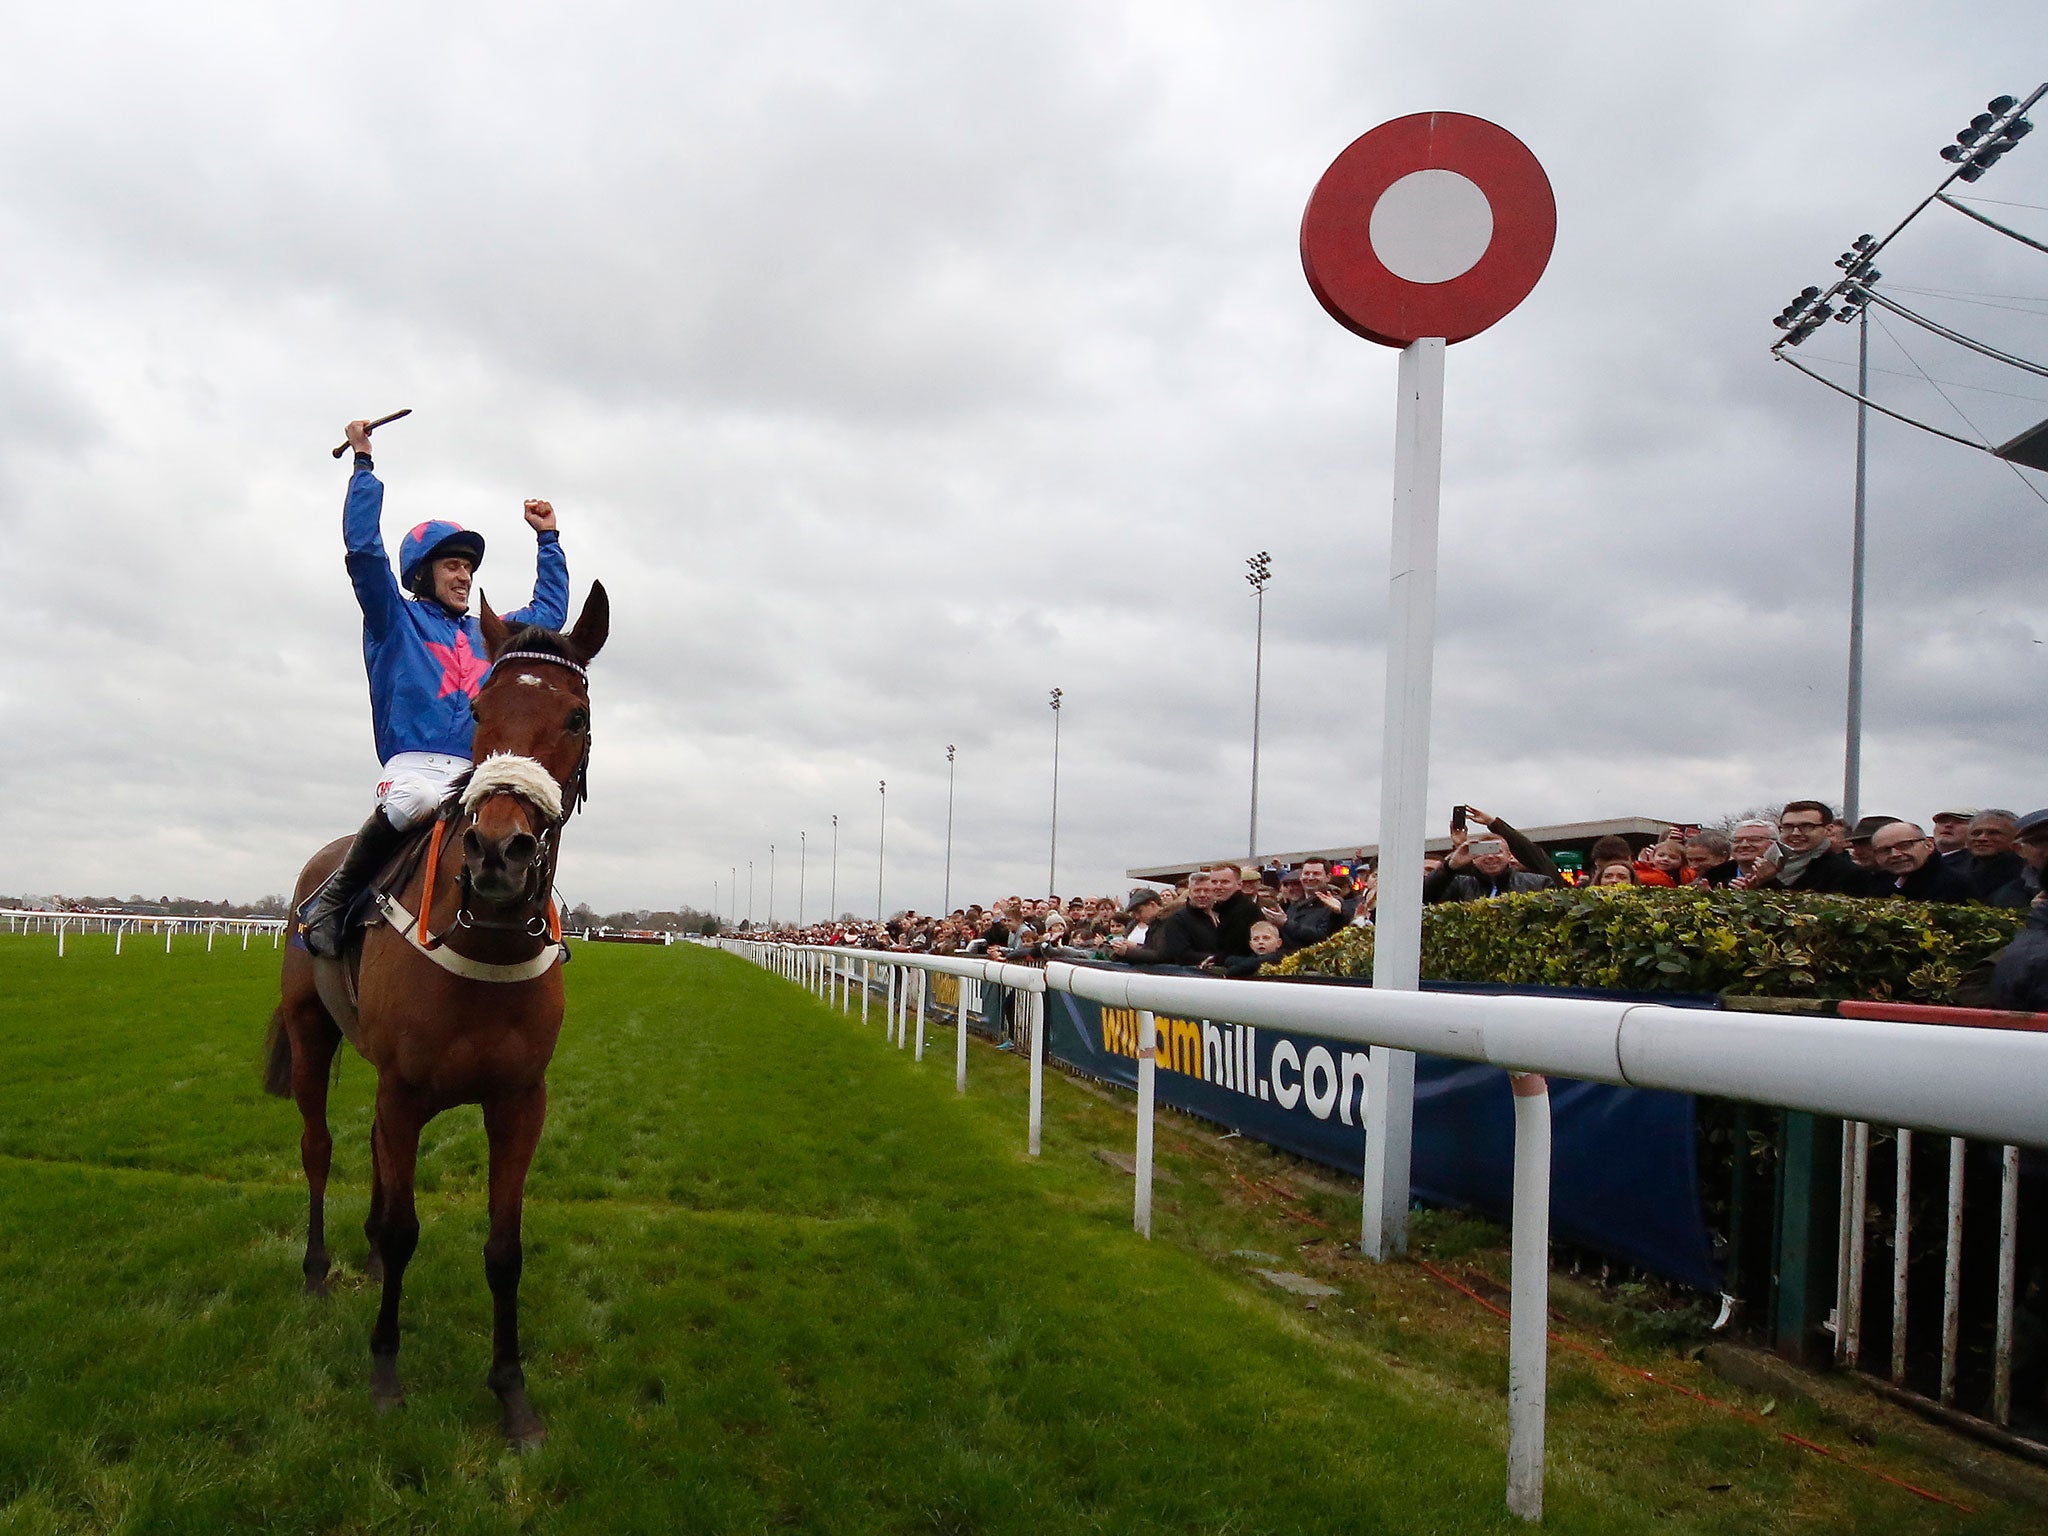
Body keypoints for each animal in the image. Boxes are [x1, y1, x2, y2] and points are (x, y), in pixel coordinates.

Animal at [262, 581, 606, 1449]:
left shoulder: (519, 1099)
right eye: (479, 708)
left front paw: (513, 1395)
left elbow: (503, 1247)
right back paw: (318, 1271)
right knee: (319, 1149)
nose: (498, 854)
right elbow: (404, 1226)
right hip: (313, 1035)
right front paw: (385, 1372)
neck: (483, 935)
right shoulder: (407, 1089)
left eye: (575, 715)